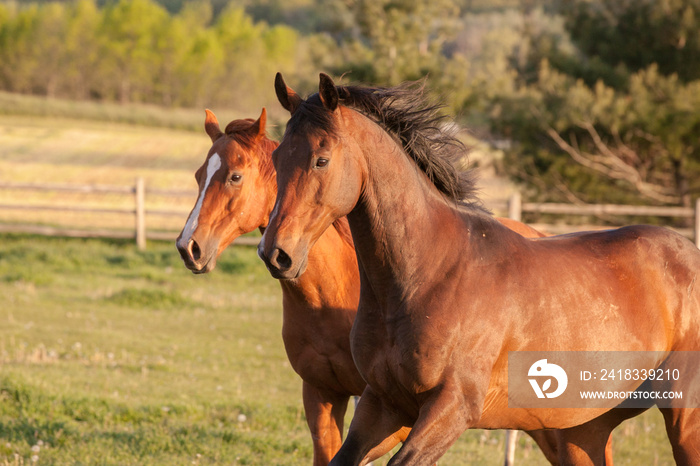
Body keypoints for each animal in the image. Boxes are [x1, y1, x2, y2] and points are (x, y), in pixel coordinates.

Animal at [175, 108, 580, 462]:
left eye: (235, 176)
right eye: (197, 176)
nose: (188, 247)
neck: (330, 295)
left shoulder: (394, 408)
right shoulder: (322, 393)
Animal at [258, 71, 700, 464]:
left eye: (321, 160)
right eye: (277, 157)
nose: (275, 253)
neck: (428, 276)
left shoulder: (451, 408)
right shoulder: (382, 404)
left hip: (683, 418)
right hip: (583, 431)